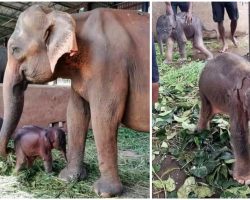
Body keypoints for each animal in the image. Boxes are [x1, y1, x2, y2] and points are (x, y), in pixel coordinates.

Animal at [0, 4, 149, 197]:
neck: (73, 18)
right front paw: (68, 178)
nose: (10, 150)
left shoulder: (108, 66)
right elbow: (75, 114)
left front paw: (104, 192)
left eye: (14, 49)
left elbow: (104, 117)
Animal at [198, 52, 250, 184]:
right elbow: (239, 132)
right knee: (206, 112)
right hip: (204, 93)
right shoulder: (236, 100)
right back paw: (201, 132)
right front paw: (243, 180)